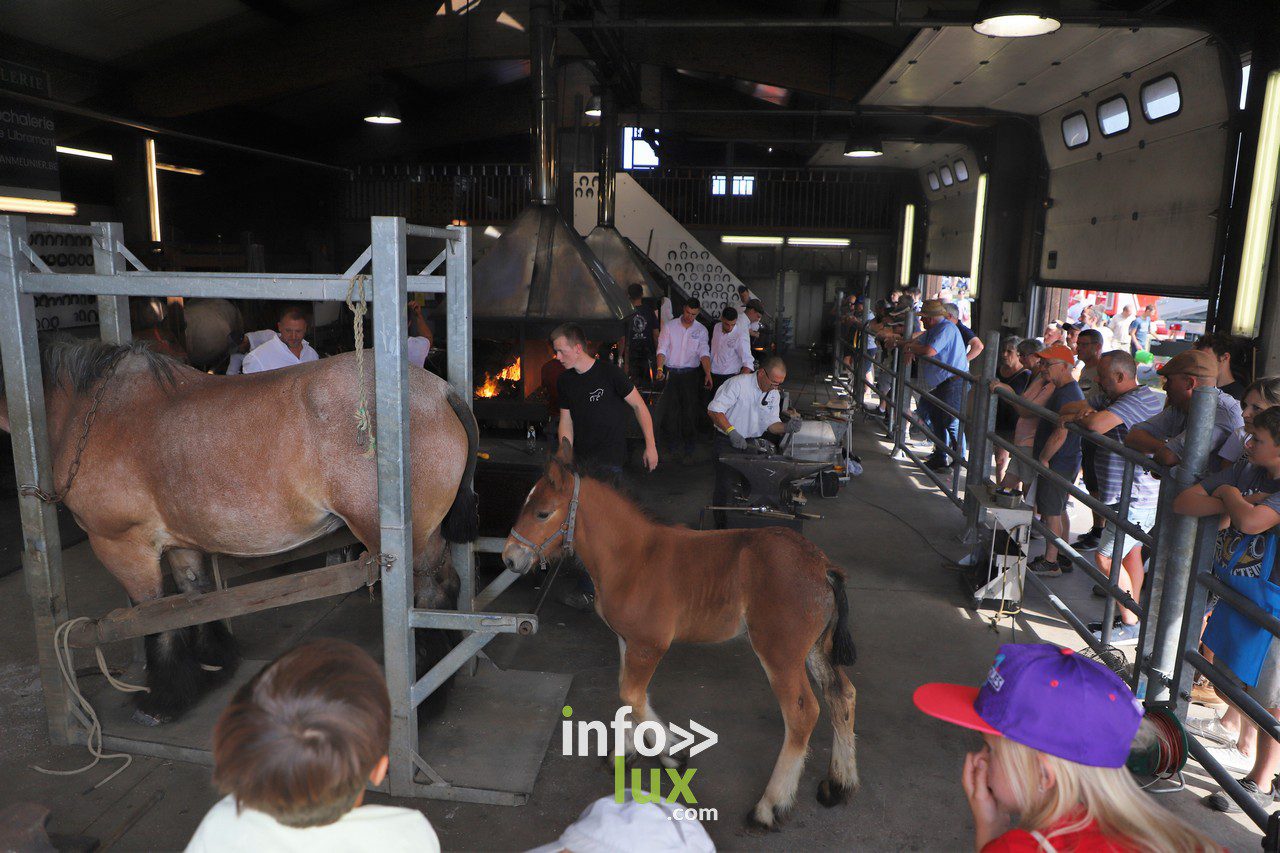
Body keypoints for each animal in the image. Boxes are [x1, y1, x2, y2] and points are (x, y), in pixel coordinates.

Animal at [0, 338, 481, 717]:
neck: (93, 412)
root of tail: (441, 391)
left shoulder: (122, 546)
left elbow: (153, 619)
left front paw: (162, 699)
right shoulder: (180, 541)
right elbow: (192, 601)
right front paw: (213, 666)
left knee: (426, 599)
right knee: (445, 585)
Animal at [501, 440, 860, 824]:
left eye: (542, 513)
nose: (509, 558)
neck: (632, 557)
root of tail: (822, 566)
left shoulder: (650, 643)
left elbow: (631, 694)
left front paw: (673, 752)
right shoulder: (626, 639)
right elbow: (627, 694)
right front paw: (625, 753)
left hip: (780, 652)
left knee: (802, 713)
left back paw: (769, 805)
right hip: (816, 648)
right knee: (842, 696)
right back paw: (840, 784)